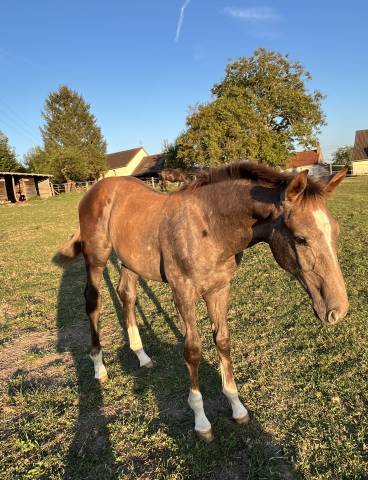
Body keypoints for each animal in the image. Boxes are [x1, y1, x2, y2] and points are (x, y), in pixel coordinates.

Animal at [56, 163, 350, 440]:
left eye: (335, 232)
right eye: (301, 238)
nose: (338, 311)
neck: (210, 226)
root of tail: (97, 188)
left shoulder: (219, 289)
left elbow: (223, 341)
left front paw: (237, 407)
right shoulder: (183, 293)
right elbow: (193, 350)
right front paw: (201, 422)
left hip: (131, 261)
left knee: (127, 295)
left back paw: (142, 356)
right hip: (96, 259)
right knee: (93, 302)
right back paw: (99, 367)